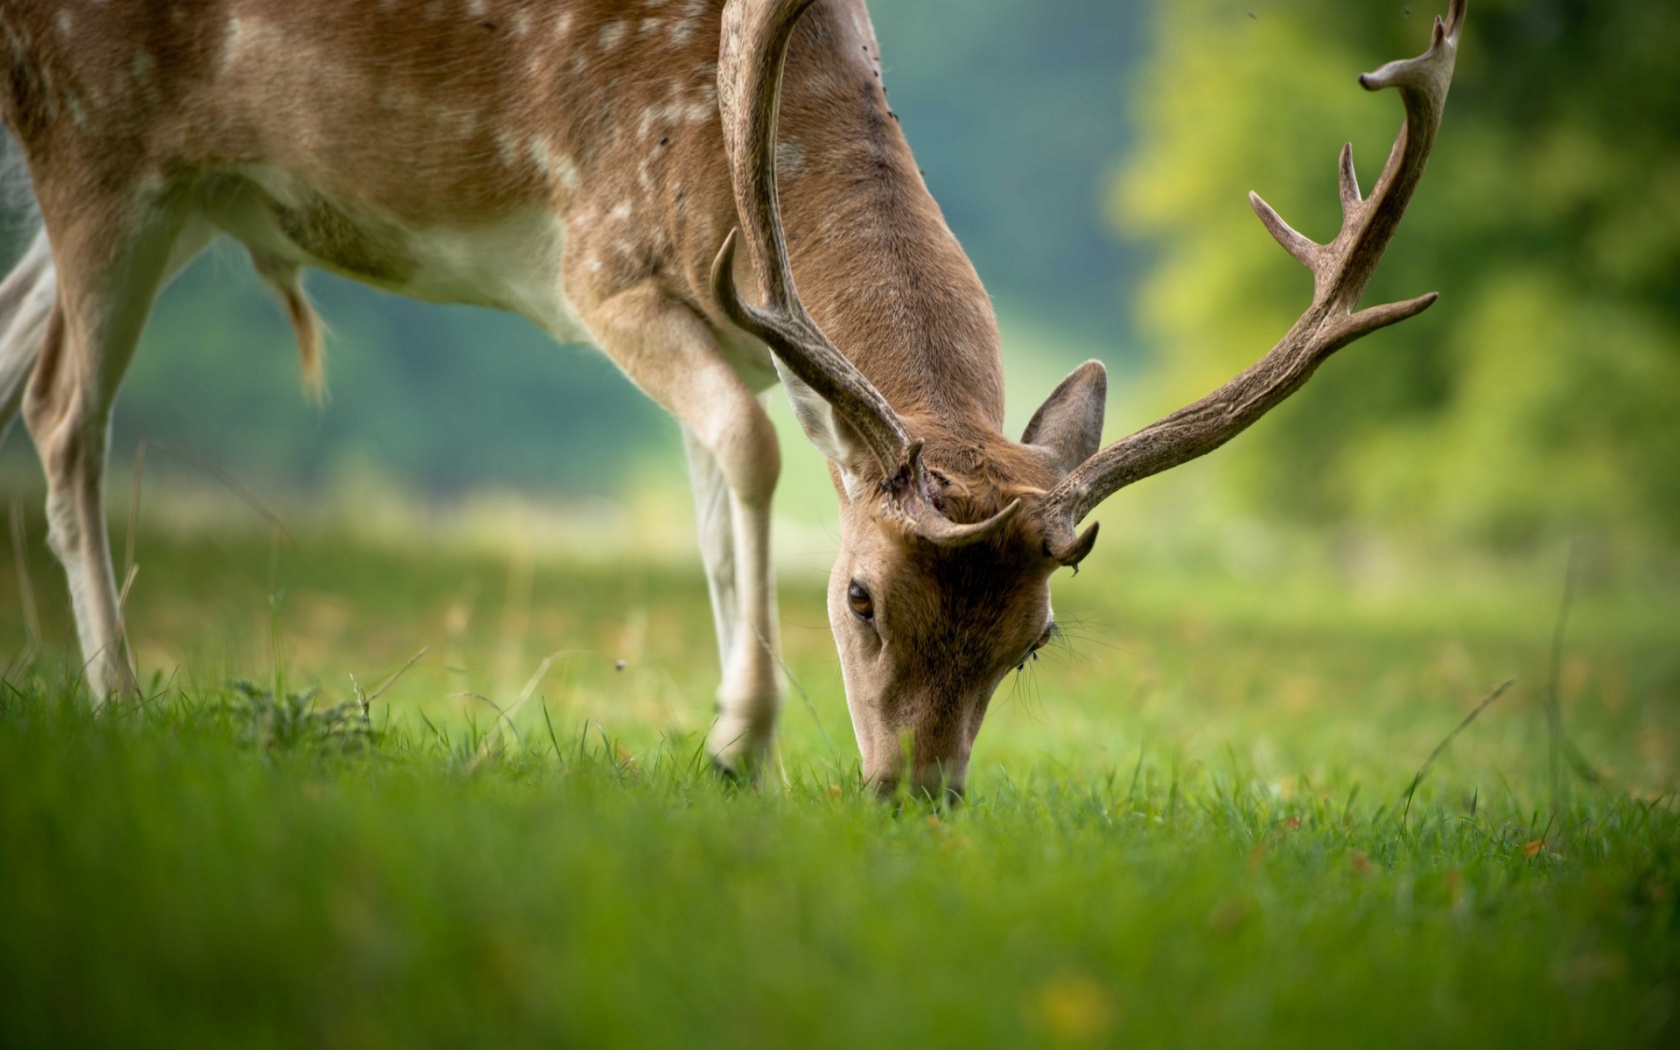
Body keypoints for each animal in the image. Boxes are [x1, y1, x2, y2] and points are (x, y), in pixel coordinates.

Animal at [0, 0, 1471, 799]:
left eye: (1038, 639)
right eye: (861, 598)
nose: (916, 796)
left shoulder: (743, 329)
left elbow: (714, 499)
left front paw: (726, 739)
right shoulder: (601, 258)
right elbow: (749, 453)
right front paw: (742, 739)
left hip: (176, 192)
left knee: (22, 349)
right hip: (97, 133)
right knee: (67, 406)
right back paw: (117, 693)